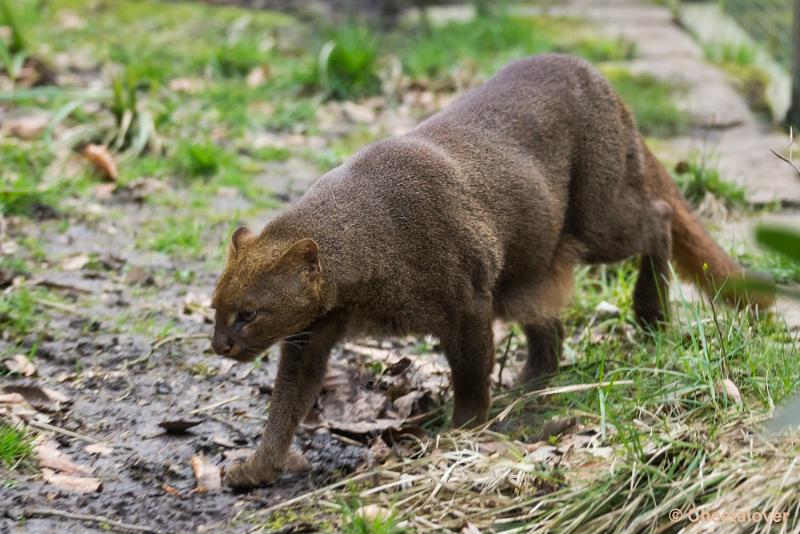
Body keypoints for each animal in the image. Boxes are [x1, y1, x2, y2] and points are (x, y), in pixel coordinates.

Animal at [209, 54, 772, 490]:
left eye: (248, 314)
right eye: (215, 310)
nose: (220, 346)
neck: (366, 246)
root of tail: (597, 76)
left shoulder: (467, 301)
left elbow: (470, 372)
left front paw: (461, 429)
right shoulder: (312, 334)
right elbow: (285, 404)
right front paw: (258, 467)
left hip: (598, 218)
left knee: (658, 216)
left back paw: (650, 311)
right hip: (528, 269)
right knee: (552, 320)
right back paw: (531, 381)